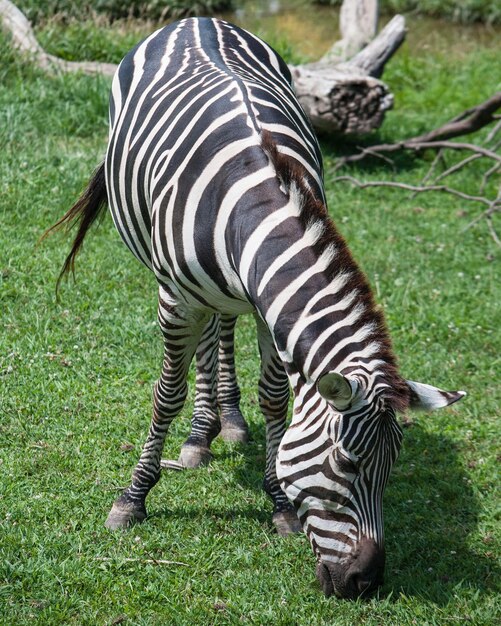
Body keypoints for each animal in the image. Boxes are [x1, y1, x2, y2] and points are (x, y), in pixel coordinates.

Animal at [48, 17, 462, 596]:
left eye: (391, 469)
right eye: (347, 464)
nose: (365, 583)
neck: (254, 204)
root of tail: (198, 20)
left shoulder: (272, 311)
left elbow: (274, 399)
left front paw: (280, 503)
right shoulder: (174, 299)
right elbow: (166, 396)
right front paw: (133, 498)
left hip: (226, 291)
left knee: (221, 327)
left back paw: (224, 418)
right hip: (182, 284)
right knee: (203, 343)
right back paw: (200, 433)